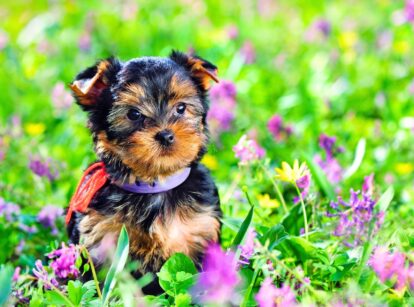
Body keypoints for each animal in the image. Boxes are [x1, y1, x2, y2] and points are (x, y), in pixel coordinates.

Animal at [67, 51, 223, 294]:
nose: (165, 135)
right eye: (133, 114)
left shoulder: (200, 230)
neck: (155, 185)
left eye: (181, 108)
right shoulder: (101, 238)